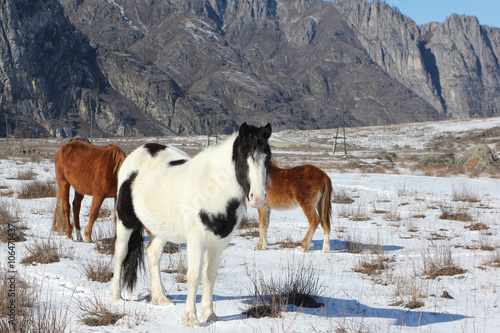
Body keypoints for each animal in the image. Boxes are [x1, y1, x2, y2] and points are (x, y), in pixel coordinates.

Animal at [111, 121, 272, 324]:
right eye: (244, 155)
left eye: (268, 158)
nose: (258, 198)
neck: (213, 188)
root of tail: (142, 150)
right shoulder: (196, 240)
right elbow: (194, 276)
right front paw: (191, 318)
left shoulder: (218, 243)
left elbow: (210, 275)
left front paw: (209, 315)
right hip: (125, 220)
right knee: (120, 253)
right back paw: (116, 296)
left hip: (160, 228)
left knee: (152, 254)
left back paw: (160, 298)